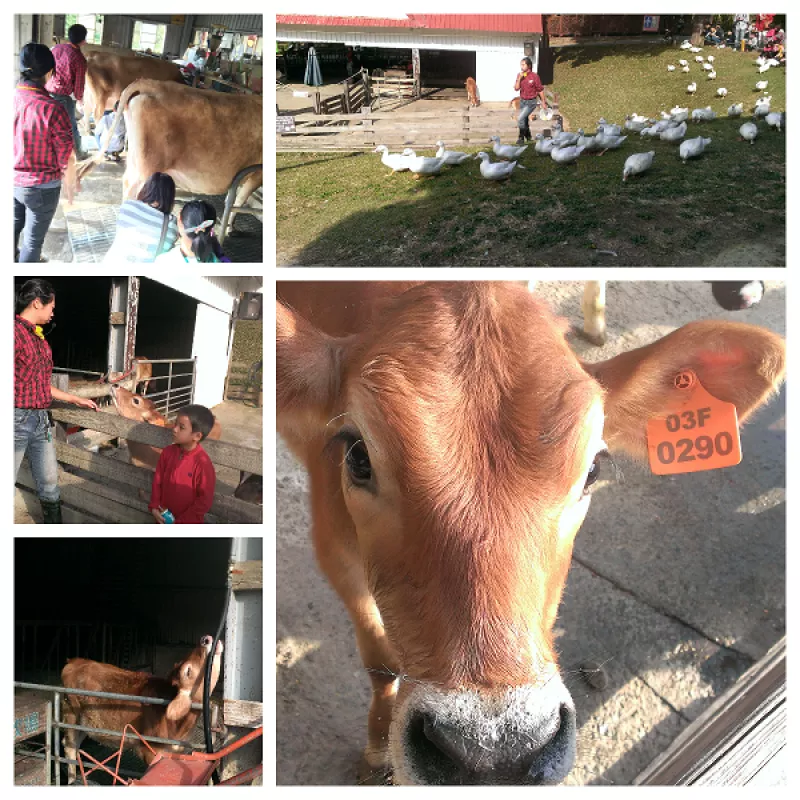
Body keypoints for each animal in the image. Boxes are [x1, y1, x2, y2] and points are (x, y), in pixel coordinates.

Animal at [60, 636, 223, 784]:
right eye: (187, 671)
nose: (205, 639)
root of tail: (74, 662)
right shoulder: (151, 751)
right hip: (71, 715)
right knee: (69, 746)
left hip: (84, 724)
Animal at [77, 80, 260, 222]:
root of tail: (150, 83)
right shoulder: (257, 174)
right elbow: (239, 201)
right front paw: (229, 227)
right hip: (147, 167)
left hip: (135, 160)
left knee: (127, 182)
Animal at [276, 282, 788, 788]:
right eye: (358, 456)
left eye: (594, 469)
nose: (490, 750)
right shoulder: (332, 547)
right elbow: (378, 659)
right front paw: (379, 746)